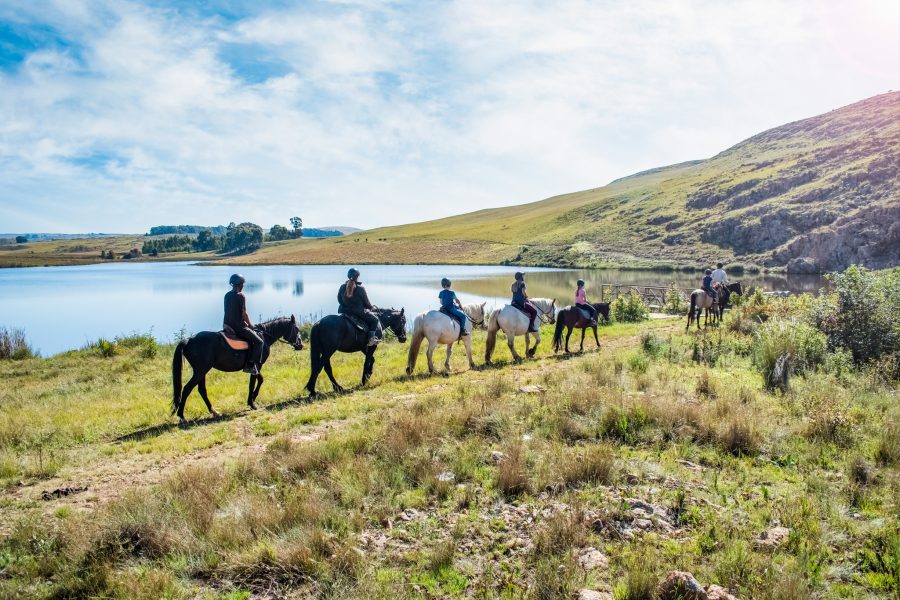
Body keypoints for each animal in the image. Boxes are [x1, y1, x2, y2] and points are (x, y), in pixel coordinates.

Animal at [172, 316, 304, 423]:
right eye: (296, 329)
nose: (300, 345)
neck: (264, 336)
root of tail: (189, 339)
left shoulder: (256, 367)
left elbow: (258, 380)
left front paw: (252, 399)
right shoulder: (256, 366)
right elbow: (255, 382)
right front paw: (252, 402)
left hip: (201, 371)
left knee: (201, 390)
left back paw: (214, 411)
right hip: (201, 370)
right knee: (187, 389)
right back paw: (182, 416)